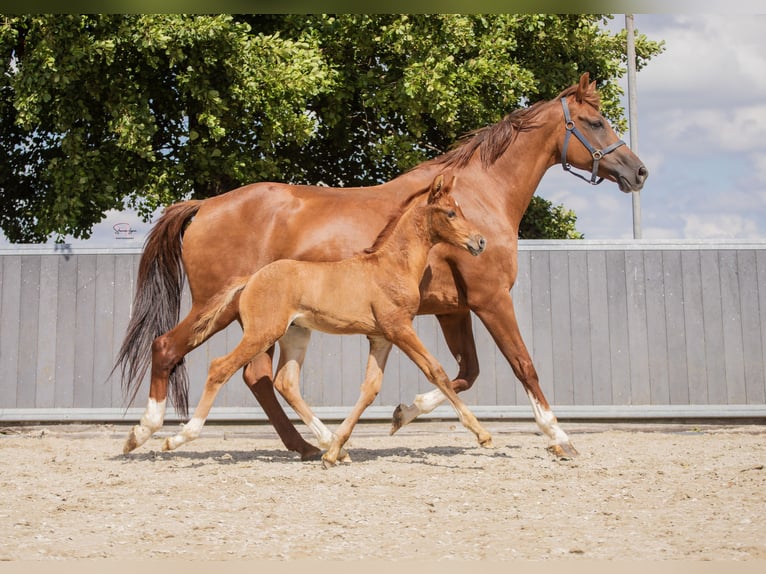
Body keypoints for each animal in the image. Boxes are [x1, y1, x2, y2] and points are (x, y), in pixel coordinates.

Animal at [161, 172, 489, 467]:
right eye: (450, 212)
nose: (480, 241)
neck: (391, 265)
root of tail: (250, 279)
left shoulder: (381, 337)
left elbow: (370, 389)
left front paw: (335, 452)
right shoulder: (399, 328)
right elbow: (436, 371)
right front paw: (482, 435)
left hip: (295, 335)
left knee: (286, 382)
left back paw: (324, 444)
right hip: (262, 333)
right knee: (220, 368)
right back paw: (176, 438)